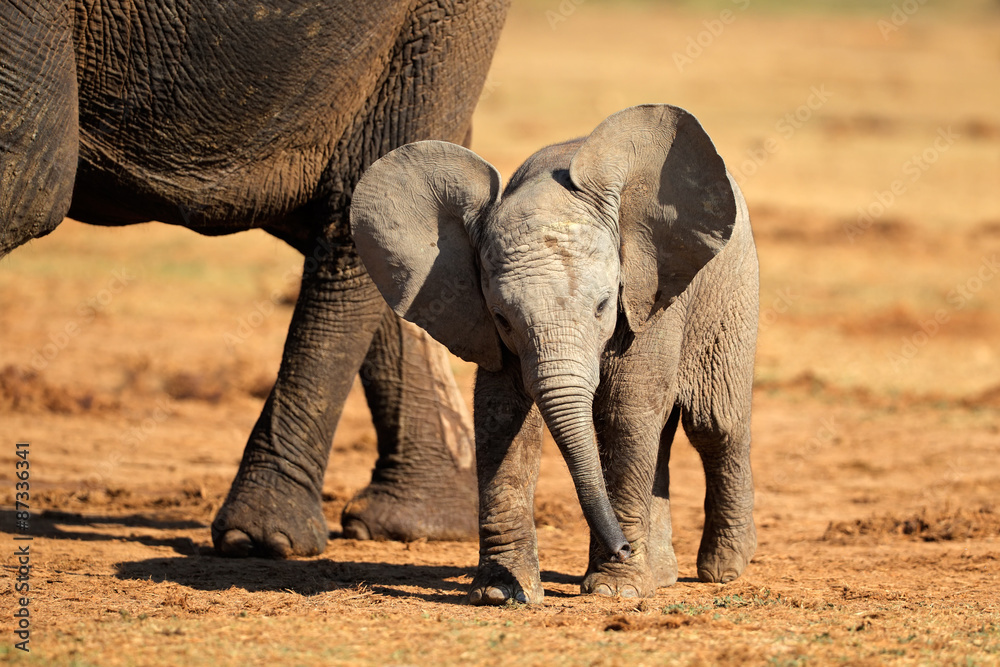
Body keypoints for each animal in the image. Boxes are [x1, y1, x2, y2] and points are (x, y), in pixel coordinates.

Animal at [351, 104, 759, 603]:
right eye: (503, 318)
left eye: (603, 305)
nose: (623, 547)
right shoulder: (489, 329)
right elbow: (502, 417)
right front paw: (501, 592)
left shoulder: (646, 295)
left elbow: (625, 410)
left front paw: (615, 592)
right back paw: (661, 574)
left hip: (733, 286)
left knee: (713, 423)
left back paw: (723, 569)